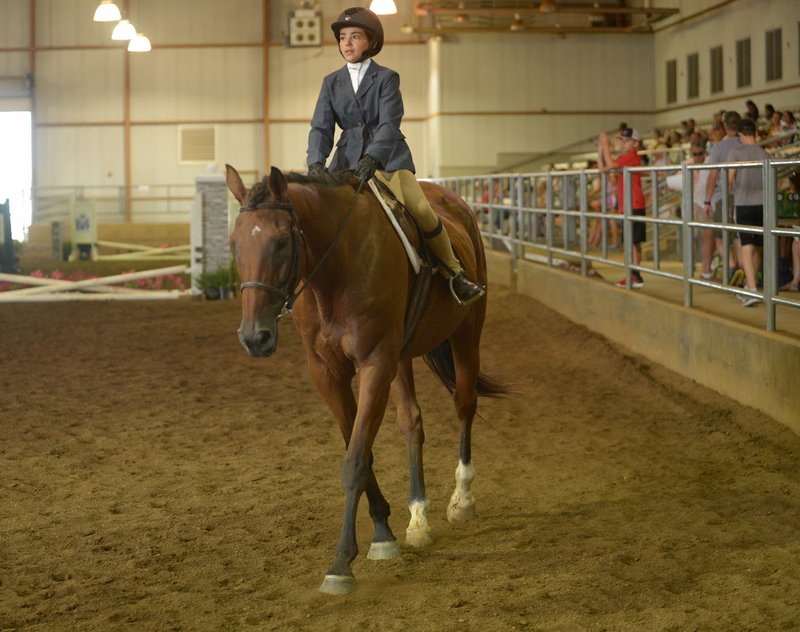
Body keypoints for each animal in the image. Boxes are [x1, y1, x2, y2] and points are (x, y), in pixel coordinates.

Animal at [225, 165, 506, 596]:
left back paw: (461, 500)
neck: (334, 271)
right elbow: (359, 449)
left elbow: (355, 459)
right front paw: (382, 532)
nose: (255, 337)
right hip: (402, 356)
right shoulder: (327, 373)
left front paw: (341, 564)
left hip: (466, 333)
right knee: (411, 422)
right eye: (235, 244)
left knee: (464, 404)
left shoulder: (375, 363)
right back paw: (418, 517)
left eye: (281, 241)